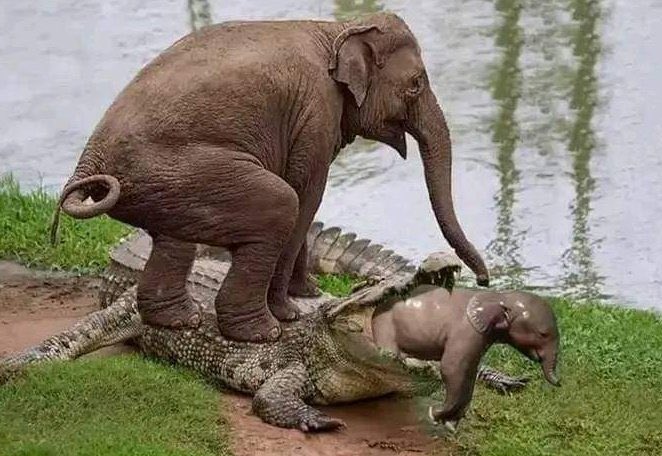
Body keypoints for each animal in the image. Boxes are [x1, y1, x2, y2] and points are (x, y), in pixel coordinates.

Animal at [50, 12, 490, 343]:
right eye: (416, 85)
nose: (484, 280)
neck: (339, 27)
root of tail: (89, 161)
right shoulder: (316, 111)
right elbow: (306, 192)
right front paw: (291, 311)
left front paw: (308, 294)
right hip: (180, 171)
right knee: (279, 204)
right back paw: (261, 333)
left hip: (163, 187)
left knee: (175, 238)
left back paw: (179, 321)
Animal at [371, 285, 560, 431]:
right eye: (543, 334)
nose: (559, 383)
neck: (499, 297)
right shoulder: (466, 332)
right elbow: (451, 368)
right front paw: (437, 415)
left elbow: (469, 373)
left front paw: (450, 421)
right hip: (386, 328)